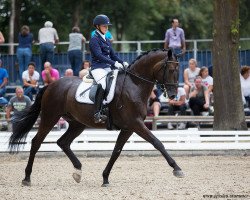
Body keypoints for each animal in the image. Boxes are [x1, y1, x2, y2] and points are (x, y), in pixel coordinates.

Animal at [8, 48, 184, 186]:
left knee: (63, 142)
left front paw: (105, 178)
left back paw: (78, 171)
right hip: (50, 117)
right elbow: (157, 143)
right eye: (170, 70)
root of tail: (50, 85)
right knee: (36, 142)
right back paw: (27, 178)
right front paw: (177, 169)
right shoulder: (136, 123)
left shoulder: (128, 127)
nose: (173, 95)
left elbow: (116, 151)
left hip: (77, 123)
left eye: (178, 71)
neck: (134, 84)